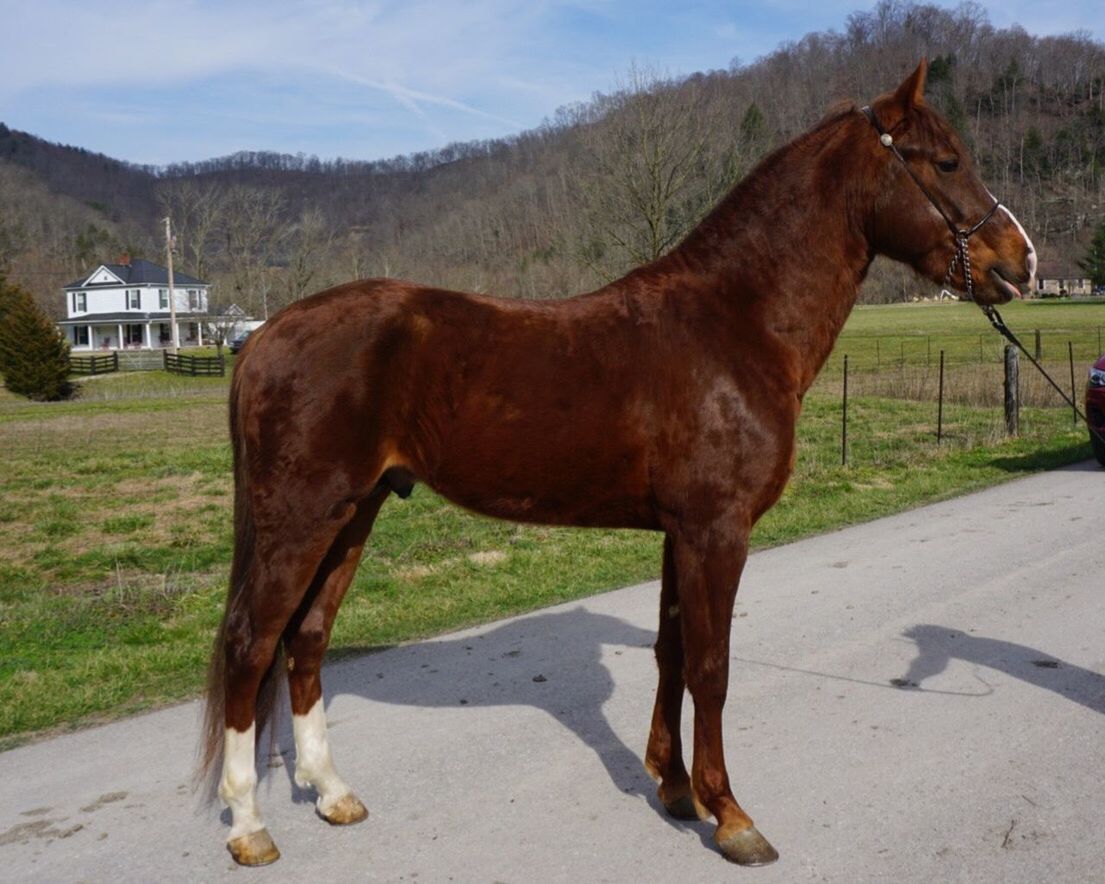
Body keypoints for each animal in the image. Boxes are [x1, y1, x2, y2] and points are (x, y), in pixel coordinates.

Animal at [198, 63, 1034, 870]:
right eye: (946, 160)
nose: (1020, 260)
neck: (735, 321)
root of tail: (265, 334)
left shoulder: (679, 533)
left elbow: (669, 653)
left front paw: (673, 788)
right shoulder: (715, 531)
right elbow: (711, 667)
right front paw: (731, 817)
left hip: (354, 513)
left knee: (306, 641)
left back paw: (333, 793)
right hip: (301, 518)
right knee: (249, 644)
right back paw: (248, 827)